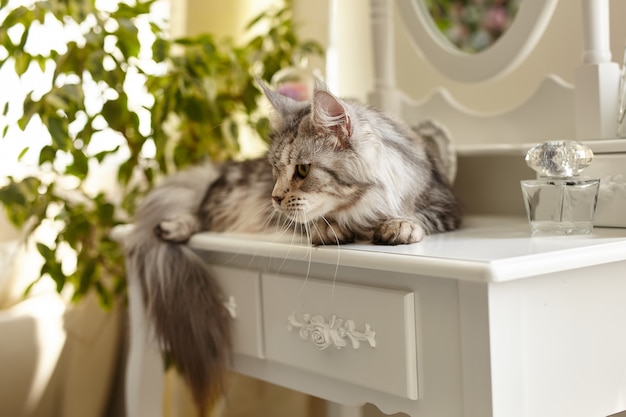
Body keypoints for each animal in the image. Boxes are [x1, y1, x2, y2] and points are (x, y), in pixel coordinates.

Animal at [124, 79, 460, 414]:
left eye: (302, 170)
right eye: (275, 169)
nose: (273, 197)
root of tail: (219, 170)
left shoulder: (446, 208)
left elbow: (417, 217)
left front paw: (398, 225)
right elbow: (317, 222)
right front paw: (332, 230)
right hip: (222, 203)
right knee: (198, 215)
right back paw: (171, 227)